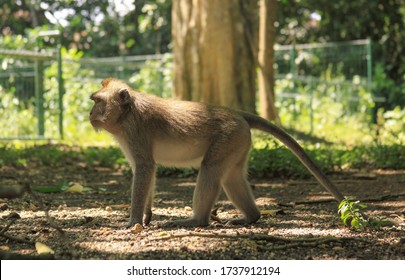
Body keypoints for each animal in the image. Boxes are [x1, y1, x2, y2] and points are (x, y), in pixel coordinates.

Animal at [89, 77, 344, 226]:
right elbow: (145, 170)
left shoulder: (135, 131)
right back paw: (252, 217)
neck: (127, 113)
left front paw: (133, 221)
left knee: (210, 169)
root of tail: (237, 113)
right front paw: (146, 216)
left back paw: (197, 221)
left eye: (97, 101)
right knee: (232, 177)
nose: (90, 113)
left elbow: (144, 168)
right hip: (238, 142)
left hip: (228, 137)